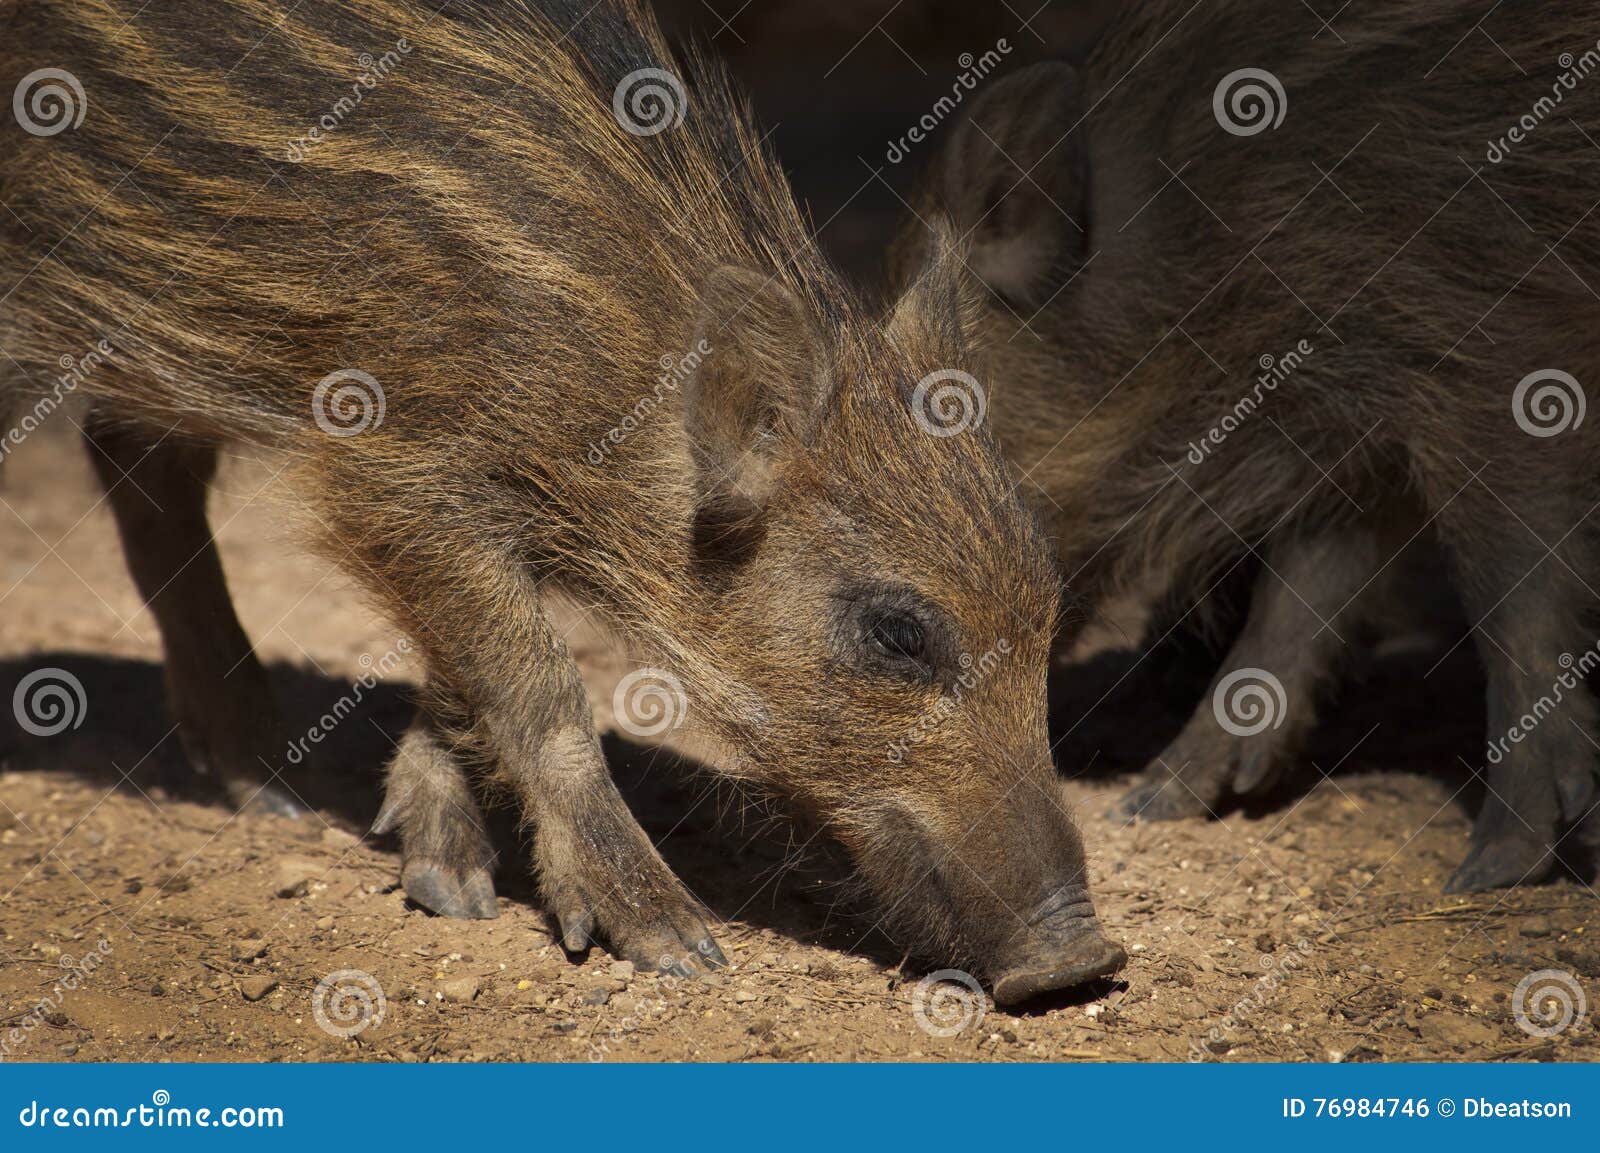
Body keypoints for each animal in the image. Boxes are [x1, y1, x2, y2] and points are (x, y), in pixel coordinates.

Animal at [0, 0, 1124, 1002]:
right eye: (898, 631)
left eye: (1047, 608)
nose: (1081, 964)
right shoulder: (392, 468)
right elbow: (540, 682)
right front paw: (674, 944)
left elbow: (468, 666)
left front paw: (443, 874)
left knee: (130, 455)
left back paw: (267, 792)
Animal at [896, 0, 1600, 891]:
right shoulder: (1352, 418)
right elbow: (1309, 583)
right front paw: (1156, 804)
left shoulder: (1503, 351)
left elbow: (1515, 584)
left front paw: (1491, 868)